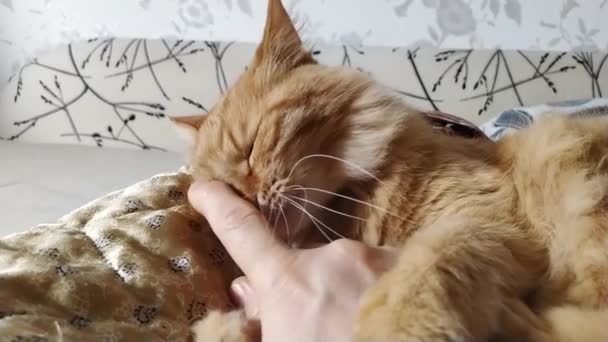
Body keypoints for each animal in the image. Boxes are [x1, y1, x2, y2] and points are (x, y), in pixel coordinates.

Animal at [172, 1, 608, 340]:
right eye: (226, 186)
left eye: (249, 150)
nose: (250, 200)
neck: (351, 206)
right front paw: (225, 327)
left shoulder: (483, 218)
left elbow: (425, 266)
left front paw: (397, 327)